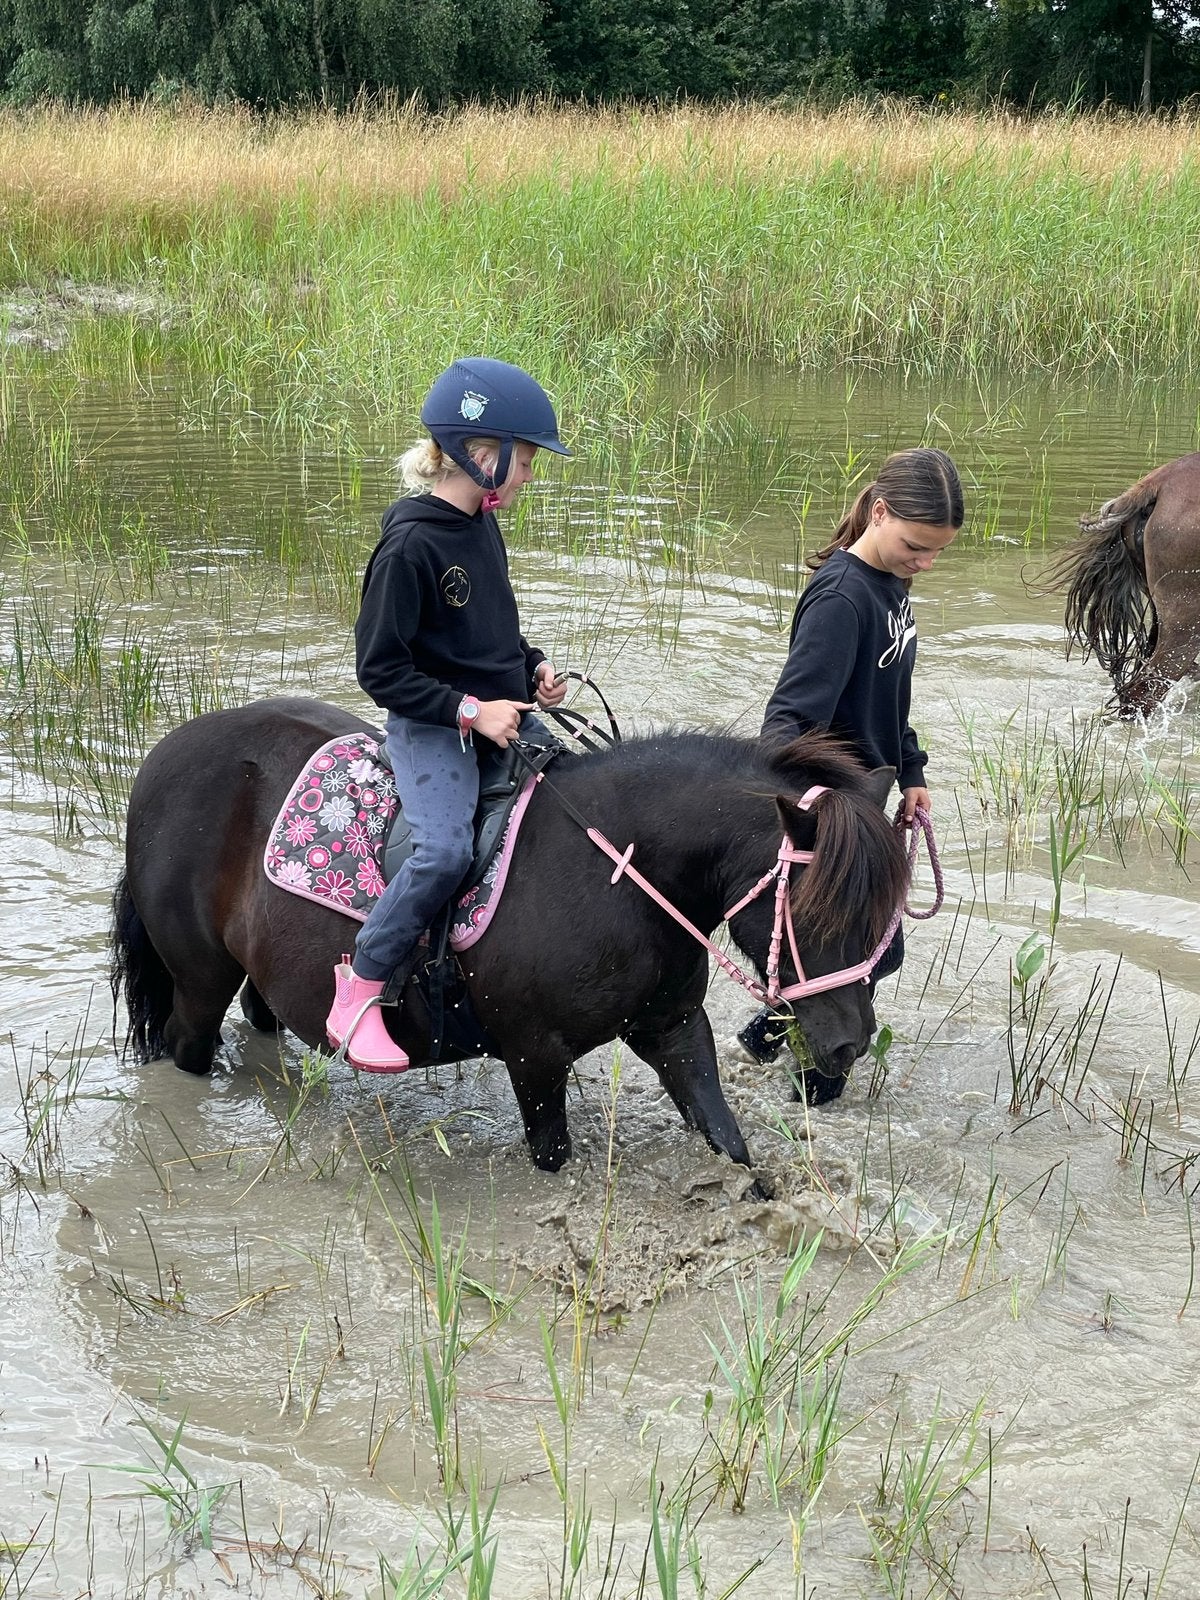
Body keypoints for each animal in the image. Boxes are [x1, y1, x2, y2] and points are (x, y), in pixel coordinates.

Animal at [110, 697, 910, 1176]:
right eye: (816, 913)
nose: (849, 1042)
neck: (619, 871)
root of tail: (165, 756)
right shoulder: (535, 1056)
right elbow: (553, 1155)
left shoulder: (675, 1029)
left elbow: (728, 1142)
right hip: (198, 980)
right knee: (188, 1045)